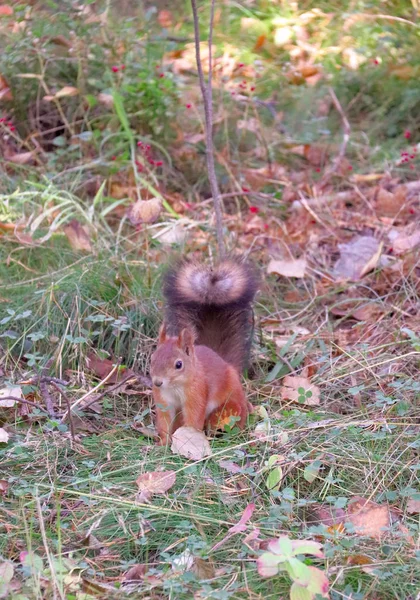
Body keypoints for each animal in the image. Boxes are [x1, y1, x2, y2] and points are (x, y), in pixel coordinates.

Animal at [149, 255, 258, 442]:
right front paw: (163, 443)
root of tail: (226, 364)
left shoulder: (197, 393)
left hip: (230, 404)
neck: (175, 386)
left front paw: (188, 440)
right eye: (152, 359)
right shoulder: (163, 399)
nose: (157, 382)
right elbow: (164, 421)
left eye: (179, 364)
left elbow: (193, 418)